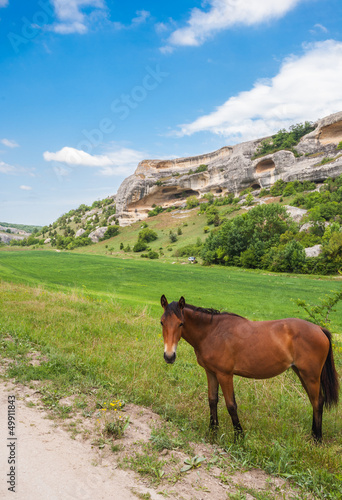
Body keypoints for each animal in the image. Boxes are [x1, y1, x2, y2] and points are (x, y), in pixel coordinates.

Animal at [160, 294, 340, 440]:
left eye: (181, 323)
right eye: (162, 322)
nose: (169, 356)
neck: (212, 332)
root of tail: (319, 329)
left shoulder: (225, 375)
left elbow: (231, 405)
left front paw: (239, 437)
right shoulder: (210, 372)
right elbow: (212, 400)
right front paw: (213, 432)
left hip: (311, 376)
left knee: (317, 402)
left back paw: (317, 438)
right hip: (302, 374)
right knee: (314, 401)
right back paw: (313, 435)